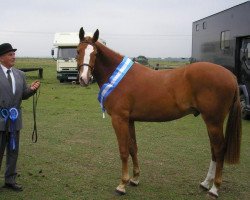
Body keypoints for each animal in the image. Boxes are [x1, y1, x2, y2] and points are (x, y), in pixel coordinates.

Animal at [76, 27, 242, 198]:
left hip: (213, 121)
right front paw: (135, 179)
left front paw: (122, 184)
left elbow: (123, 151)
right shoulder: (129, 120)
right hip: (211, 122)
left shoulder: (119, 119)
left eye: (95, 53)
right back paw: (205, 183)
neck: (119, 77)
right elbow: (132, 148)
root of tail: (231, 76)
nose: (84, 79)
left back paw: (215, 188)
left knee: (219, 149)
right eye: (78, 51)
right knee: (214, 150)